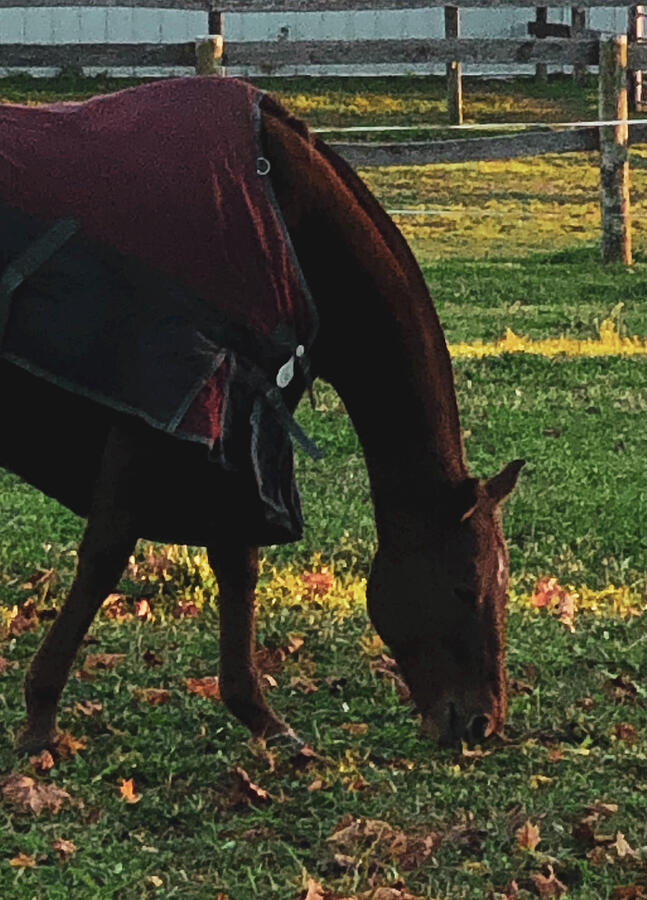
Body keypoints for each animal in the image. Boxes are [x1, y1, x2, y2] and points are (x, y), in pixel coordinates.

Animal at [0, 81, 524, 752]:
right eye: (466, 586)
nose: (482, 723)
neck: (283, 216)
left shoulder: (240, 426)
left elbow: (237, 560)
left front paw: (258, 714)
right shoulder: (160, 414)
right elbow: (105, 555)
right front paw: (40, 717)